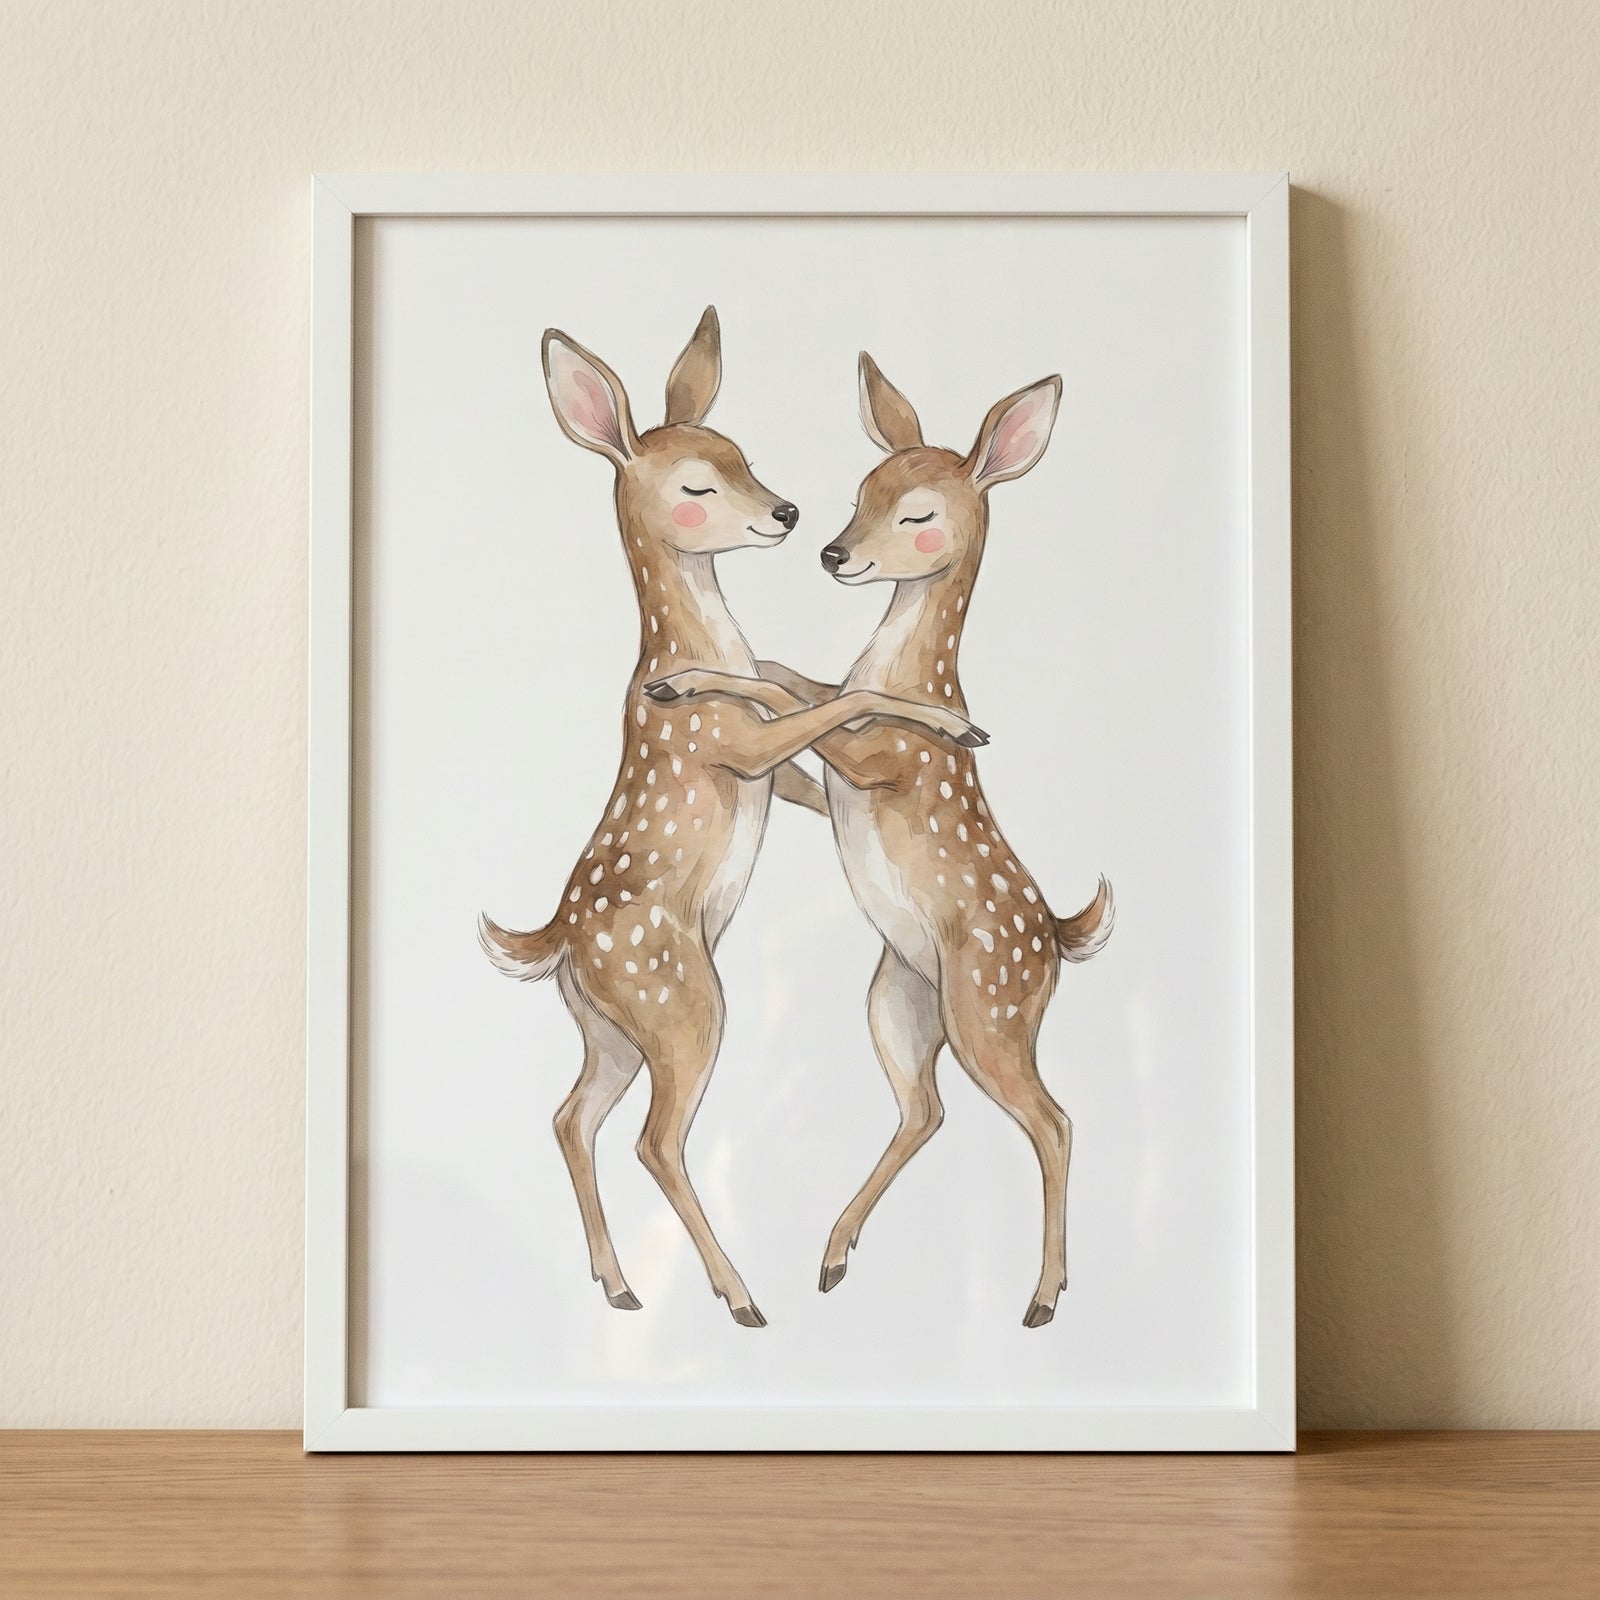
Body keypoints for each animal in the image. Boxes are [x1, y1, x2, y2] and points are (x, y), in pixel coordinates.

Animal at [479, 310, 988, 1328]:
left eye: (741, 455)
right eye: (696, 485)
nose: (789, 514)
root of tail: (556, 944)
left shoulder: (772, 766)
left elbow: (811, 724)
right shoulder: (730, 748)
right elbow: (826, 704)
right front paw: (951, 724)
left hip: (609, 1027)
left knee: (572, 1115)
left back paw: (620, 1285)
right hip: (681, 1001)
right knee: (656, 1138)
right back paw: (740, 1296)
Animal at [643, 352, 1113, 1327]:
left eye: (919, 513)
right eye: (863, 490)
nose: (830, 550)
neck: (908, 670)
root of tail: (1059, 941)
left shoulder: (880, 764)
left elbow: (809, 698)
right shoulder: (839, 757)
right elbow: (796, 677)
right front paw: (687, 681)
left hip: (989, 1009)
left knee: (1052, 1119)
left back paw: (1041, 1299)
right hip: (900, 999)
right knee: (926, 1110)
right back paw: (831, 1256)